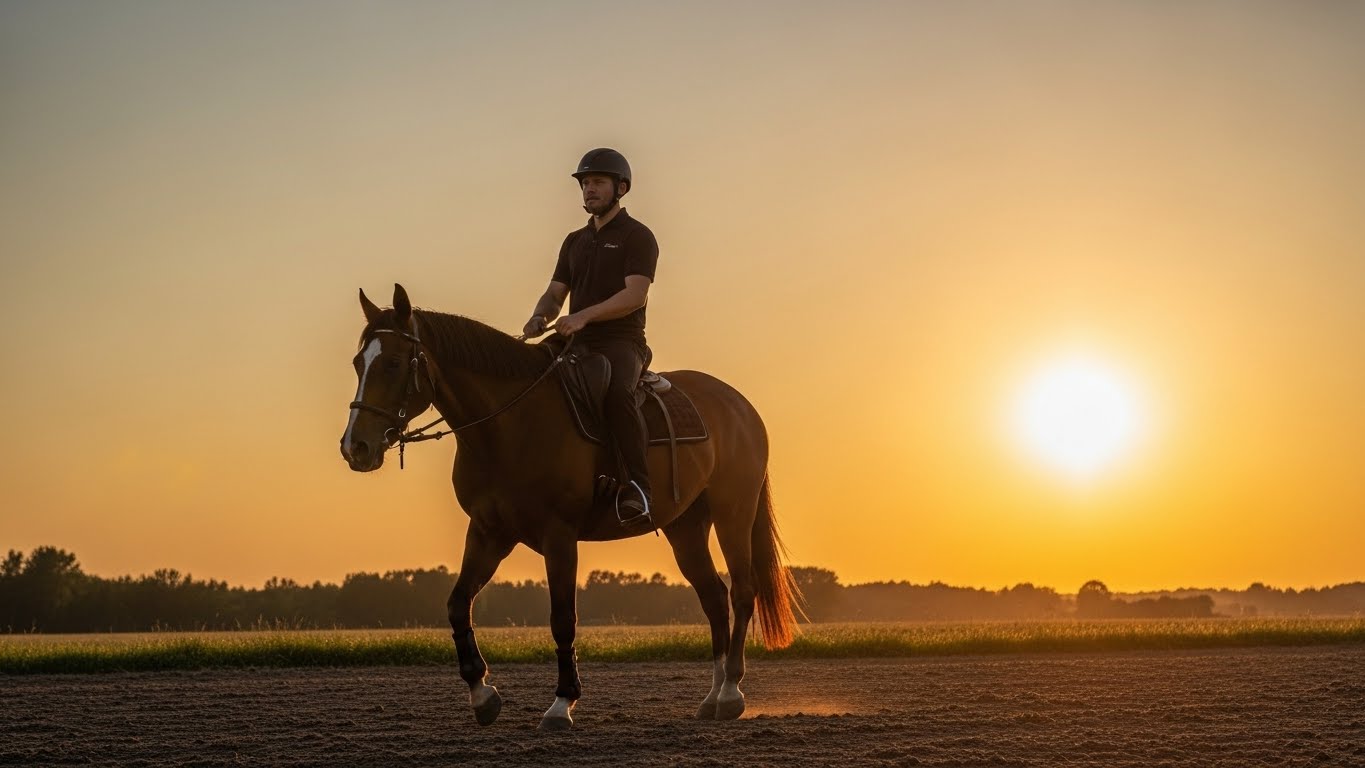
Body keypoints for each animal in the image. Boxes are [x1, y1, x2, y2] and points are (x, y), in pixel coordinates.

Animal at [339, 284, 801, 730]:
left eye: (393, 363)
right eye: (359, 363)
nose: (354, 447)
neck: (508, 424)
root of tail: (739, 406)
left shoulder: (558, 534)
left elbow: (562, 618)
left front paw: (562, 703)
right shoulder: (489, 531)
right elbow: (457, 604)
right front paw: (482, 694)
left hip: (733, 512)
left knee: (742, 592)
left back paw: (731, 693)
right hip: (685, 527)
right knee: (713, 598)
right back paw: (712, 696)